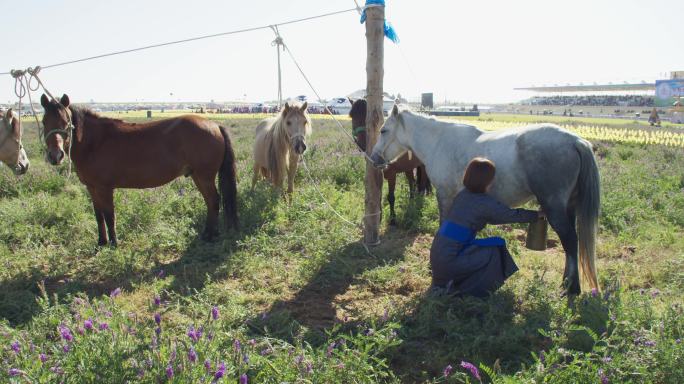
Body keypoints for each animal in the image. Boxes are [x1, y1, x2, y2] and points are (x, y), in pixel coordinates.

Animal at [40, 94, 238, 248]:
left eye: (66, 122)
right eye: (44, 121)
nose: (55, 155)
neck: (95, 142)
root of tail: (215, 125)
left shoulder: (105, 189)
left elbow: (109, 215)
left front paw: (114, 244)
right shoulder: (92, 188)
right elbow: (98, 216)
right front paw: (101, 242)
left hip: (204, 176)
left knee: (213, 201)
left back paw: (210, 235)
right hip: (198, 176)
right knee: (211, 201)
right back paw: (209, 233)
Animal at [350, 97, 430, 226]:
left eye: (368, 117)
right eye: (352, 115)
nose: (362, 144)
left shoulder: (392, 175)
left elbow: (391, 197)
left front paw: (392, 218)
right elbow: (378, 195)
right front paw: (379, 217)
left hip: (422, 166)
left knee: (421, 183)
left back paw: (419, 200)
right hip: (408, 167)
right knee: (412, 183)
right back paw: (411, 201)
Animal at [372, 106, 600, 296]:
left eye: (383, 130)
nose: (374, 158)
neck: (439, 141)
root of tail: (575, 141)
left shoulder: (445, 195)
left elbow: (443, 225)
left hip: (555, 208)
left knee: (570, 240)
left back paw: (572, 288)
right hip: (568, 207)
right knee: (571, 244)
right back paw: (567, 283)